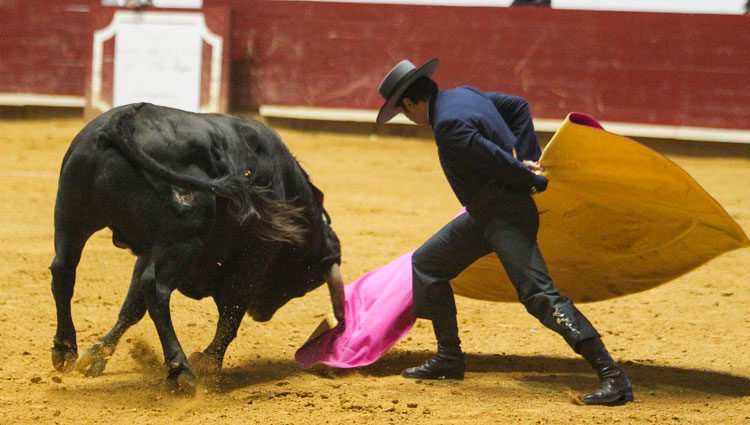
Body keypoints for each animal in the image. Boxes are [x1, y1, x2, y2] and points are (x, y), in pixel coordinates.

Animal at [48, 103, 348, 394]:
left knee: (64, 270)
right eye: (305, 282)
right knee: (156, 289)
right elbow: (230, 317)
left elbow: (132, 307)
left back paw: (65, 349)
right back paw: (181, 370)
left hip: (71, 218)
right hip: (184, 240)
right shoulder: (252, 261)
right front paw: (209, 364)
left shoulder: (148, 252)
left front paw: (96, 356)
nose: (261, 314)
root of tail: (123, 121)